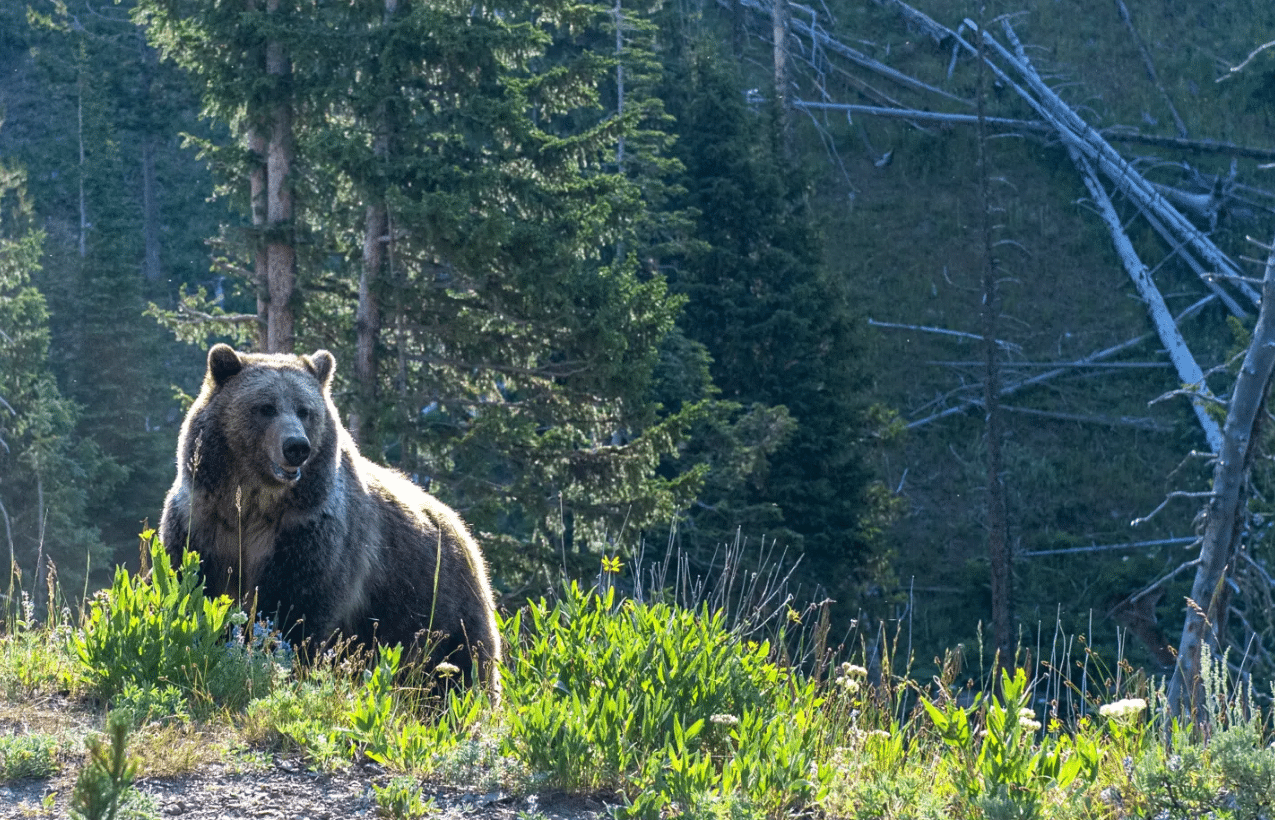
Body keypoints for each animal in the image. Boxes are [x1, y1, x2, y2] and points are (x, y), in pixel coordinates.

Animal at [159, 343, 502, 693]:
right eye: (265, 407)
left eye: (304, 410)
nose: (296, 446)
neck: (255, 504)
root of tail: (465, 533)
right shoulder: (204, 526)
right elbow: (198, 591)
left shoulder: (308, 535)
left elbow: (293, 611)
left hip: (438, 605)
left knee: (462, 668)